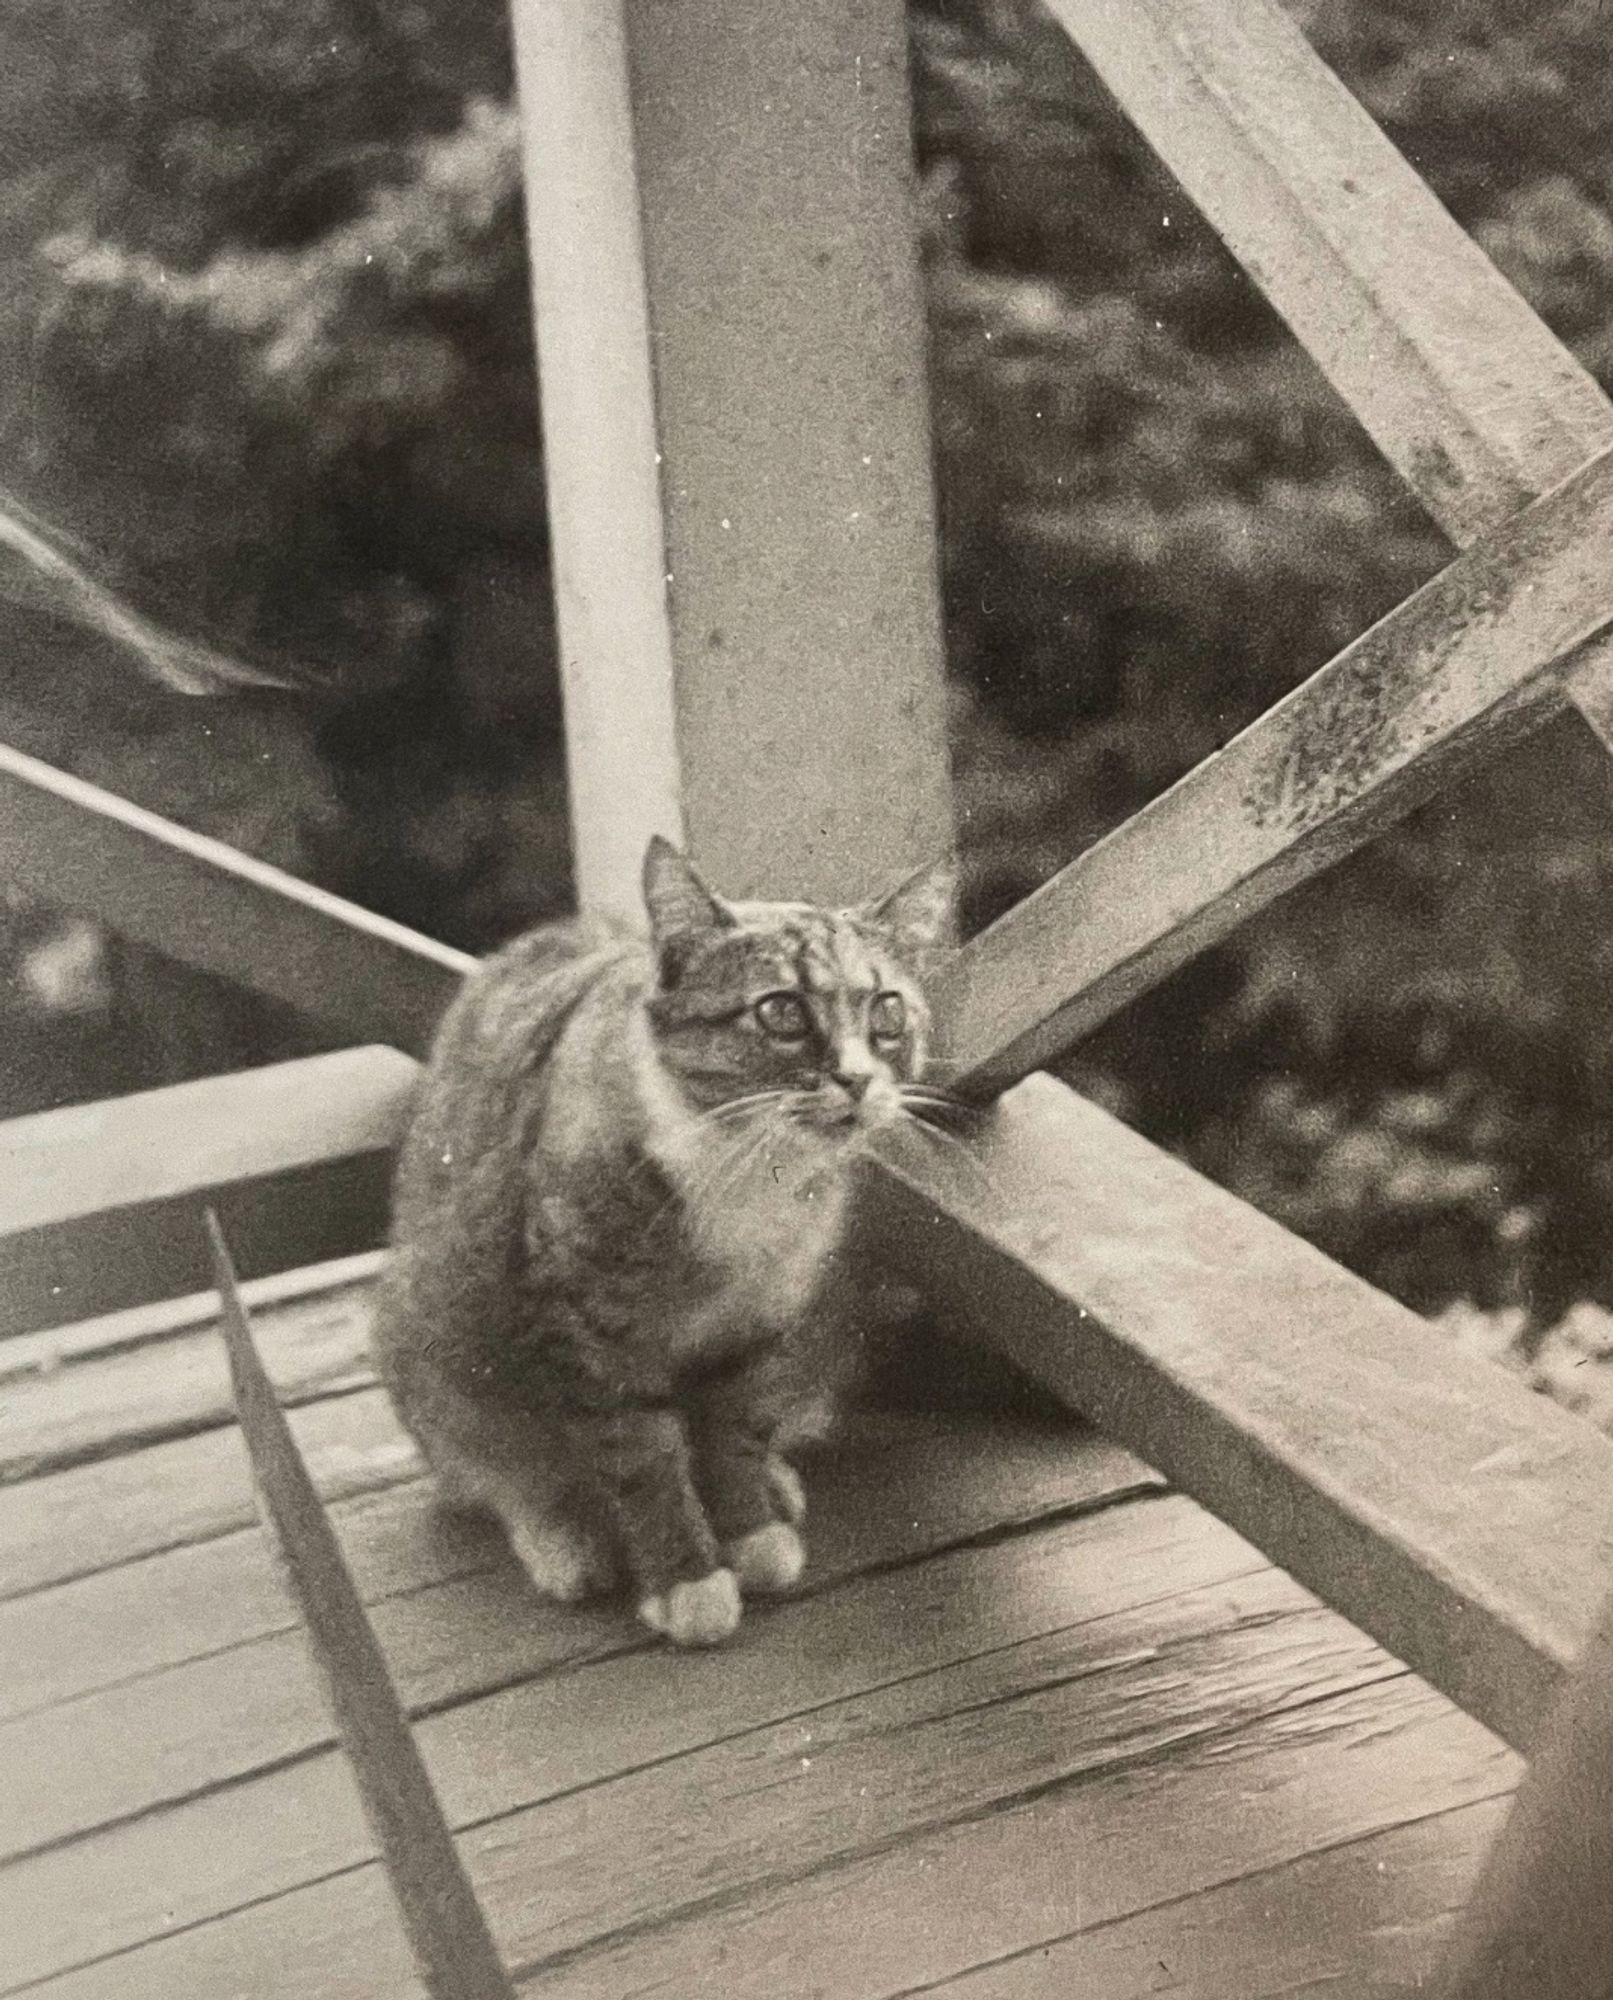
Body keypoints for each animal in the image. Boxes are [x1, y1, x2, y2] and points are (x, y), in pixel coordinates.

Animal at [372, 836, 952, 1648]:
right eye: (781, 1011)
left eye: (887, 1010)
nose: (858, 1079)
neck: (746, 1163)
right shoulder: (589, 1329)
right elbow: (643, 1459)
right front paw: (687, 1580)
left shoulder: (757, 1321)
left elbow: (732, 1431)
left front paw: (748, 1529)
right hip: (434, 1338)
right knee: (491, 1469)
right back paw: (563, 1535)